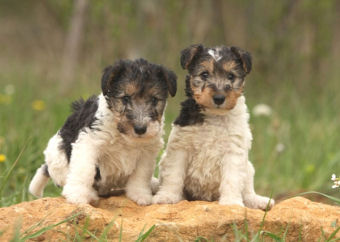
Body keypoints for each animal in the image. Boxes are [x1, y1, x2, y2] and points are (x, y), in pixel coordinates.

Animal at [29, 58, 177, 204]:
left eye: (154, 99)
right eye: (125, 98)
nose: (140, 129)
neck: (123, 136)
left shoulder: (147, 152)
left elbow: (141, 175)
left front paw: (140, 195)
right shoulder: (89, 142)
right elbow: (84, 170)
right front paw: (78, 195)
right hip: (58, 156)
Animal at [153, 44, 274, 210]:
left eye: (231, 76)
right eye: (204, 74)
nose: (219, 98)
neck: (214, 115)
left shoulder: (233, 151)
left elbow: (232, 179)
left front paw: (231, 203)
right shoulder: (180, 147)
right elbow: (174, 175)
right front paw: (167, 196)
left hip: (248, 168)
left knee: (248, 191)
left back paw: (260, 201)